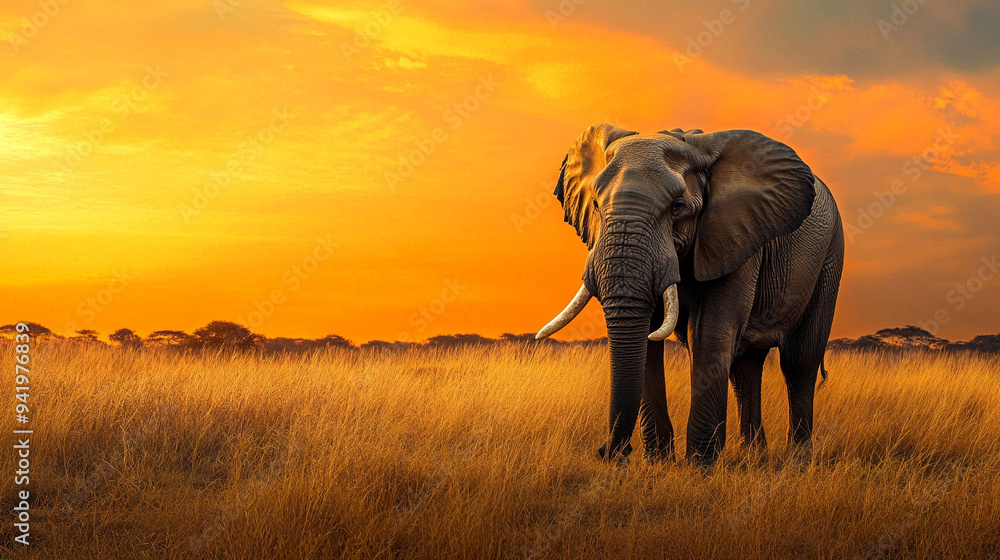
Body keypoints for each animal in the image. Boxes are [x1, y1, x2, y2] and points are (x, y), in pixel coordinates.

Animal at [536, 125, 844, 466]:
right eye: (595, 205)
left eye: (677, 207)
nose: (612, 452)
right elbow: (648, 338)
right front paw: (657, 462)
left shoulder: (734, 237)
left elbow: (708, 334)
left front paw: (699, 465)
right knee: (745, 368)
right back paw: (752, 458)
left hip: (830, 257)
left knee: (799, 360)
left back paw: (797, 461)